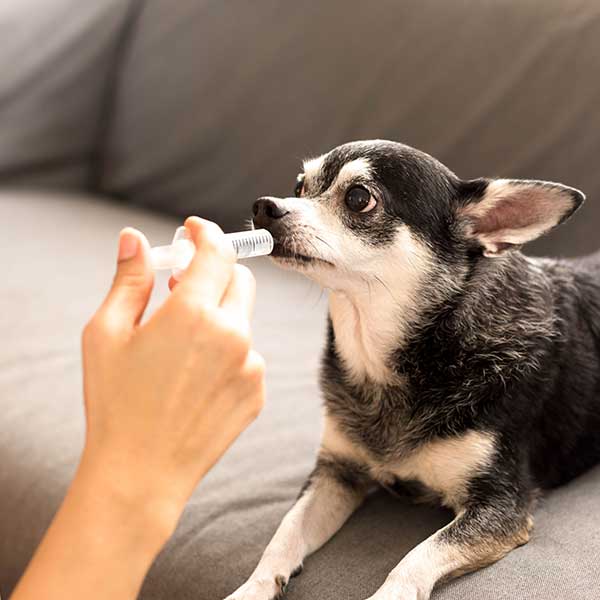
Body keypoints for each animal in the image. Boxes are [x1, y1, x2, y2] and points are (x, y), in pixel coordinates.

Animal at [226, 139, 600, 600]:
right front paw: (252, 589)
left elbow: (416, 557)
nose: (264, 206)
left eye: (359, 198)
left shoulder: (500, 506)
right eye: (299, 187)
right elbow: (285, 533)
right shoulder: (337, 473)